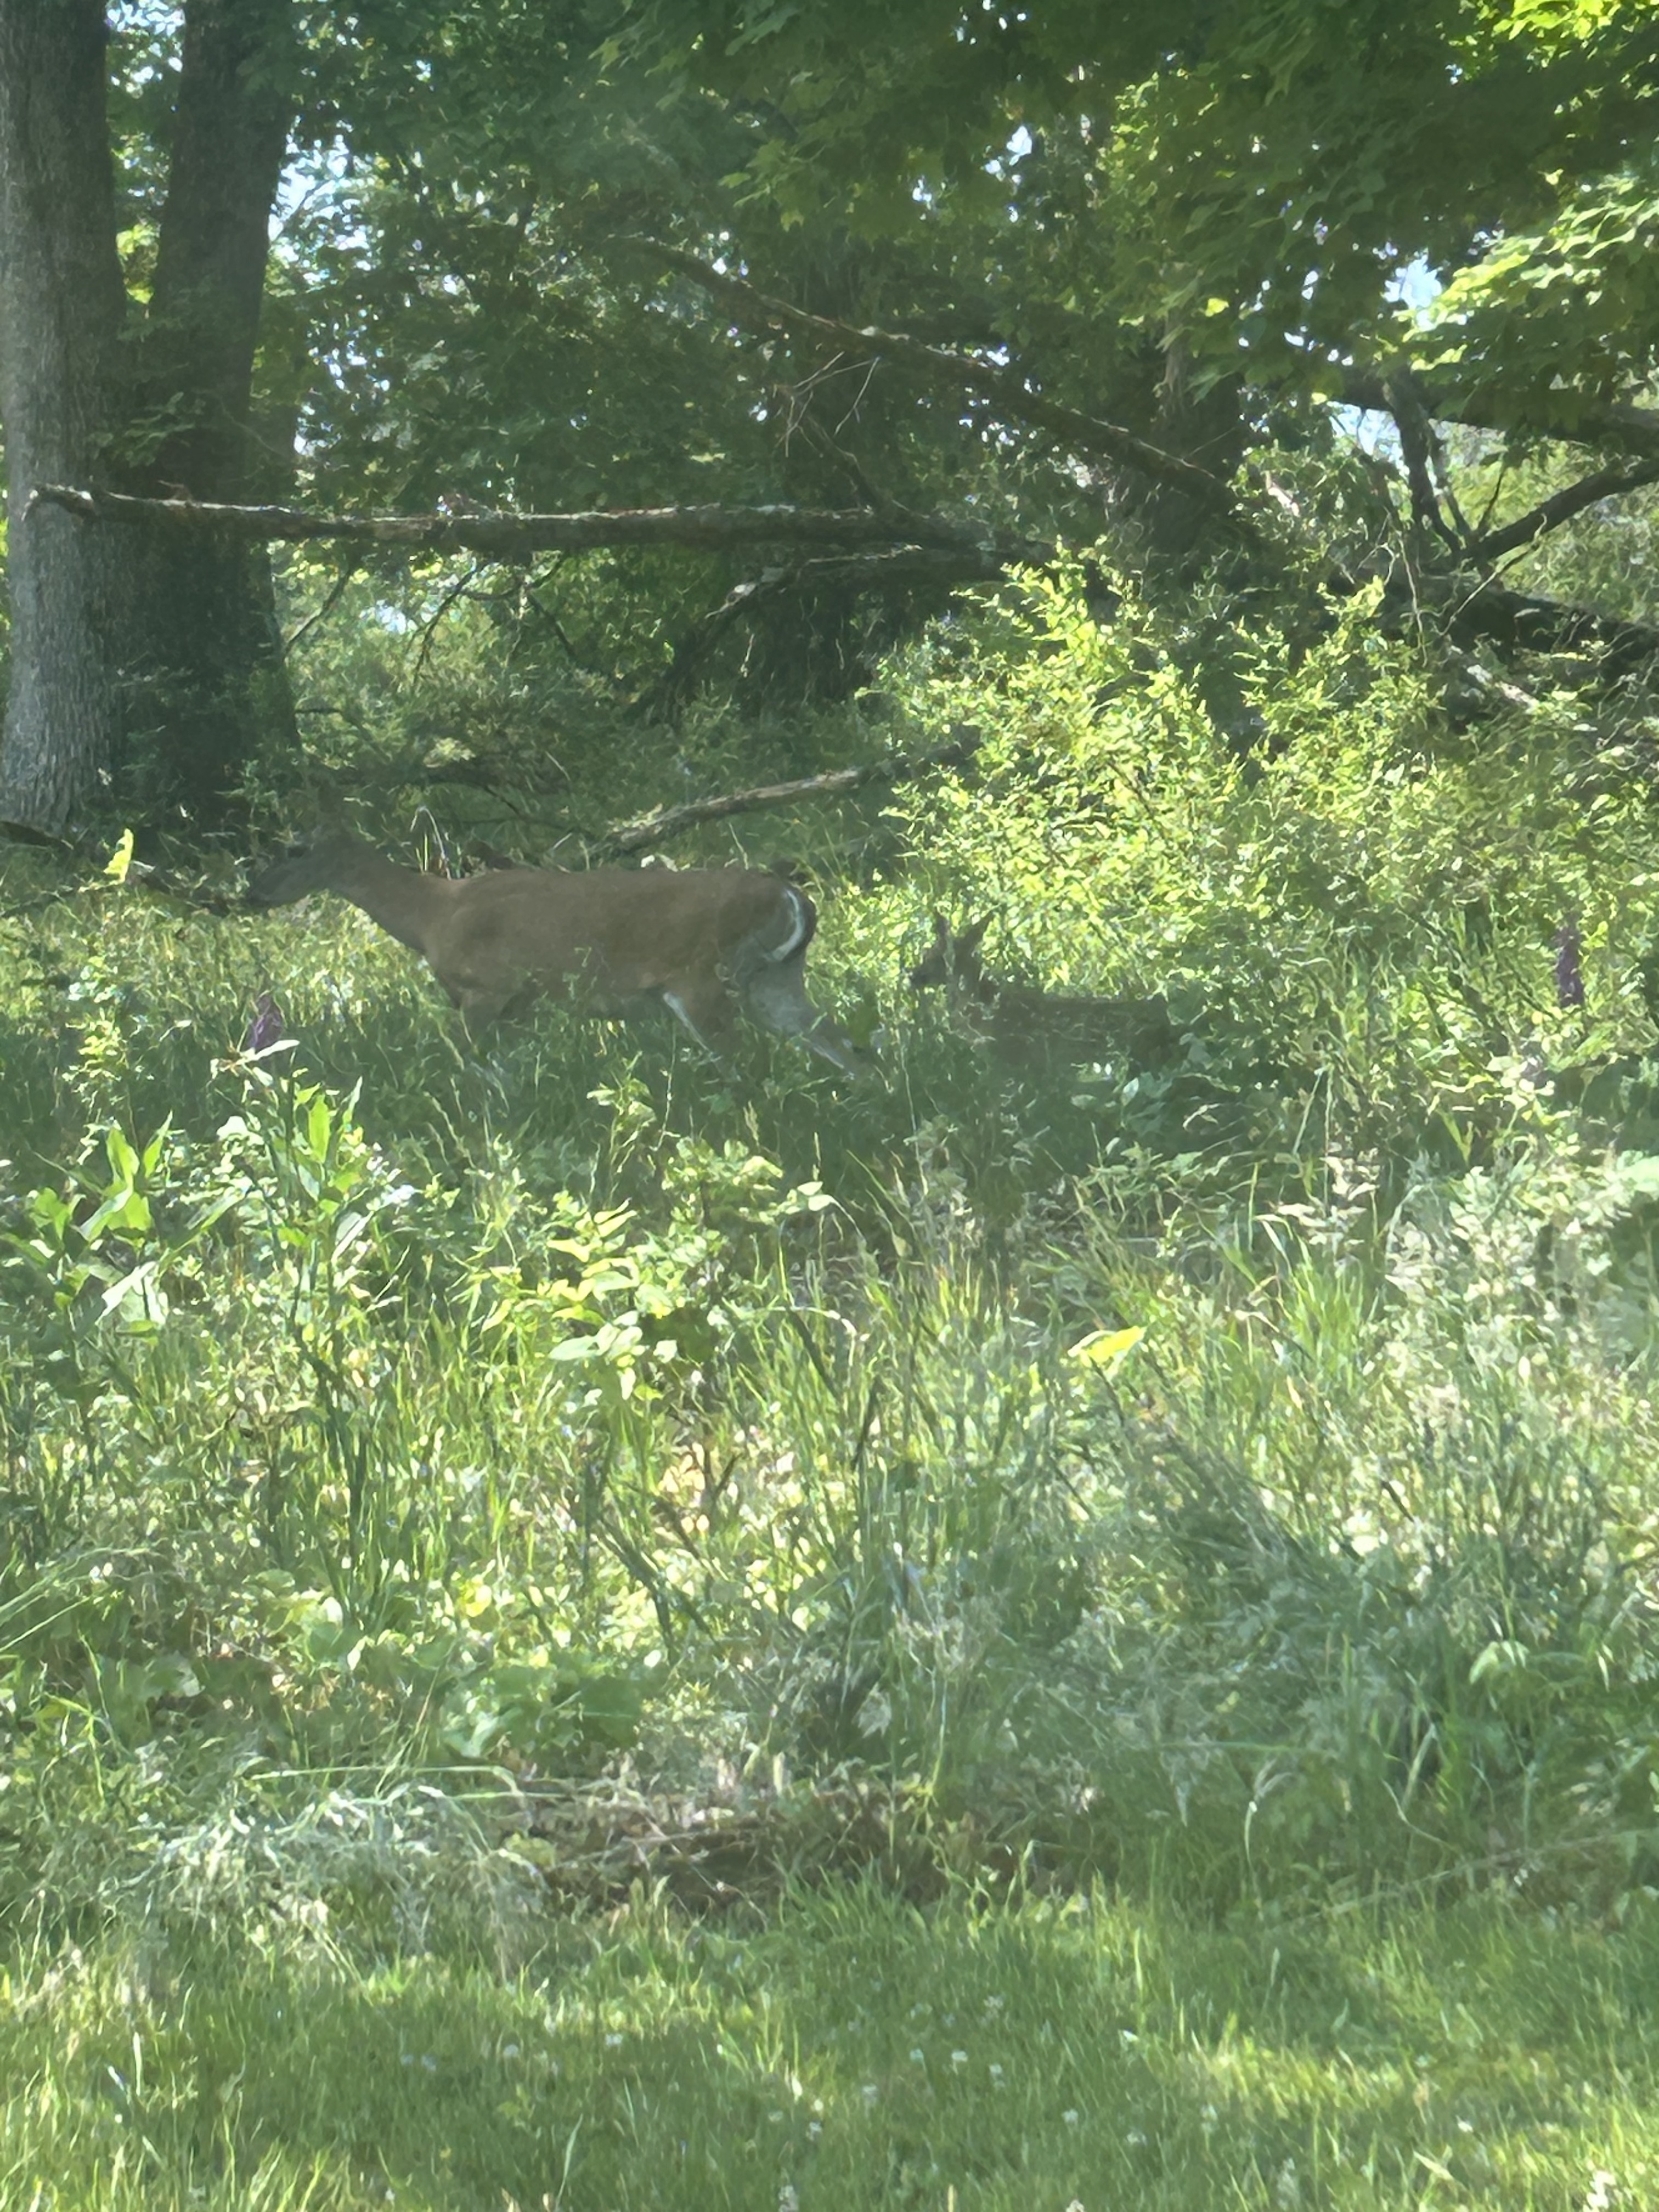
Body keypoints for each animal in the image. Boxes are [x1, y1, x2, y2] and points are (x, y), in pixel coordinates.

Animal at [252, 832, 871, 1070]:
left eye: (296, 849)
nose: (253, 891)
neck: (432, 914)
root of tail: (792, 896)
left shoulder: (488, 988)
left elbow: (463, 1064)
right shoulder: (520, 1005)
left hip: (706, 979)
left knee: (749, 1062)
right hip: (777, 979)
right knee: (839, 1042)